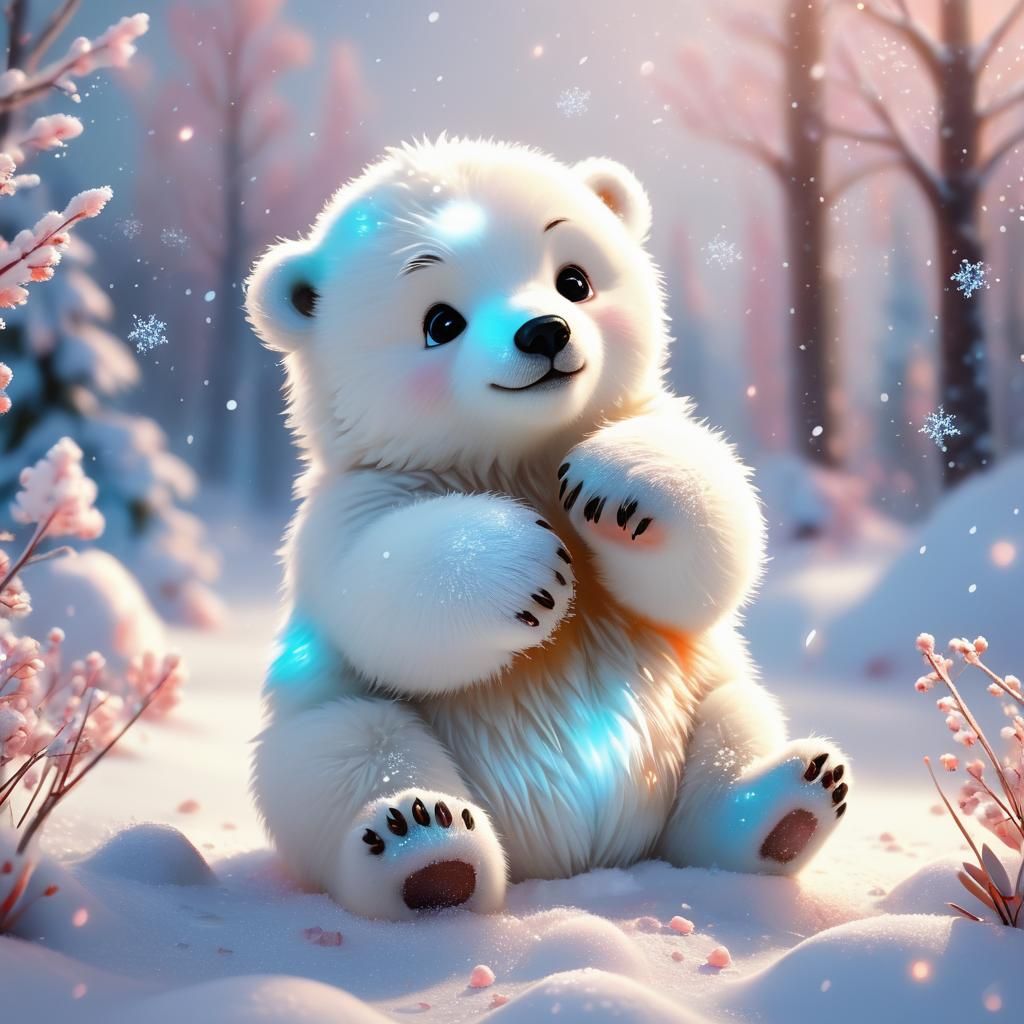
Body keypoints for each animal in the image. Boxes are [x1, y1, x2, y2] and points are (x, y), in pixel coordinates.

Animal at [246, 137, 849, 920]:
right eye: (441, 321)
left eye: (573, 280)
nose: (544, 332)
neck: (520, 454)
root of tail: (576, 854)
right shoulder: (354, 500)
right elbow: (381, 590)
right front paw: (530, 566)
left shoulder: (652, 424)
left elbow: (714, 544)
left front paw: (612, 487)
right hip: (343, 722)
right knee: (345, 749)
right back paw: (427, 853)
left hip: (694, 696)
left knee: (733, 723)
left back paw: (786, 804)